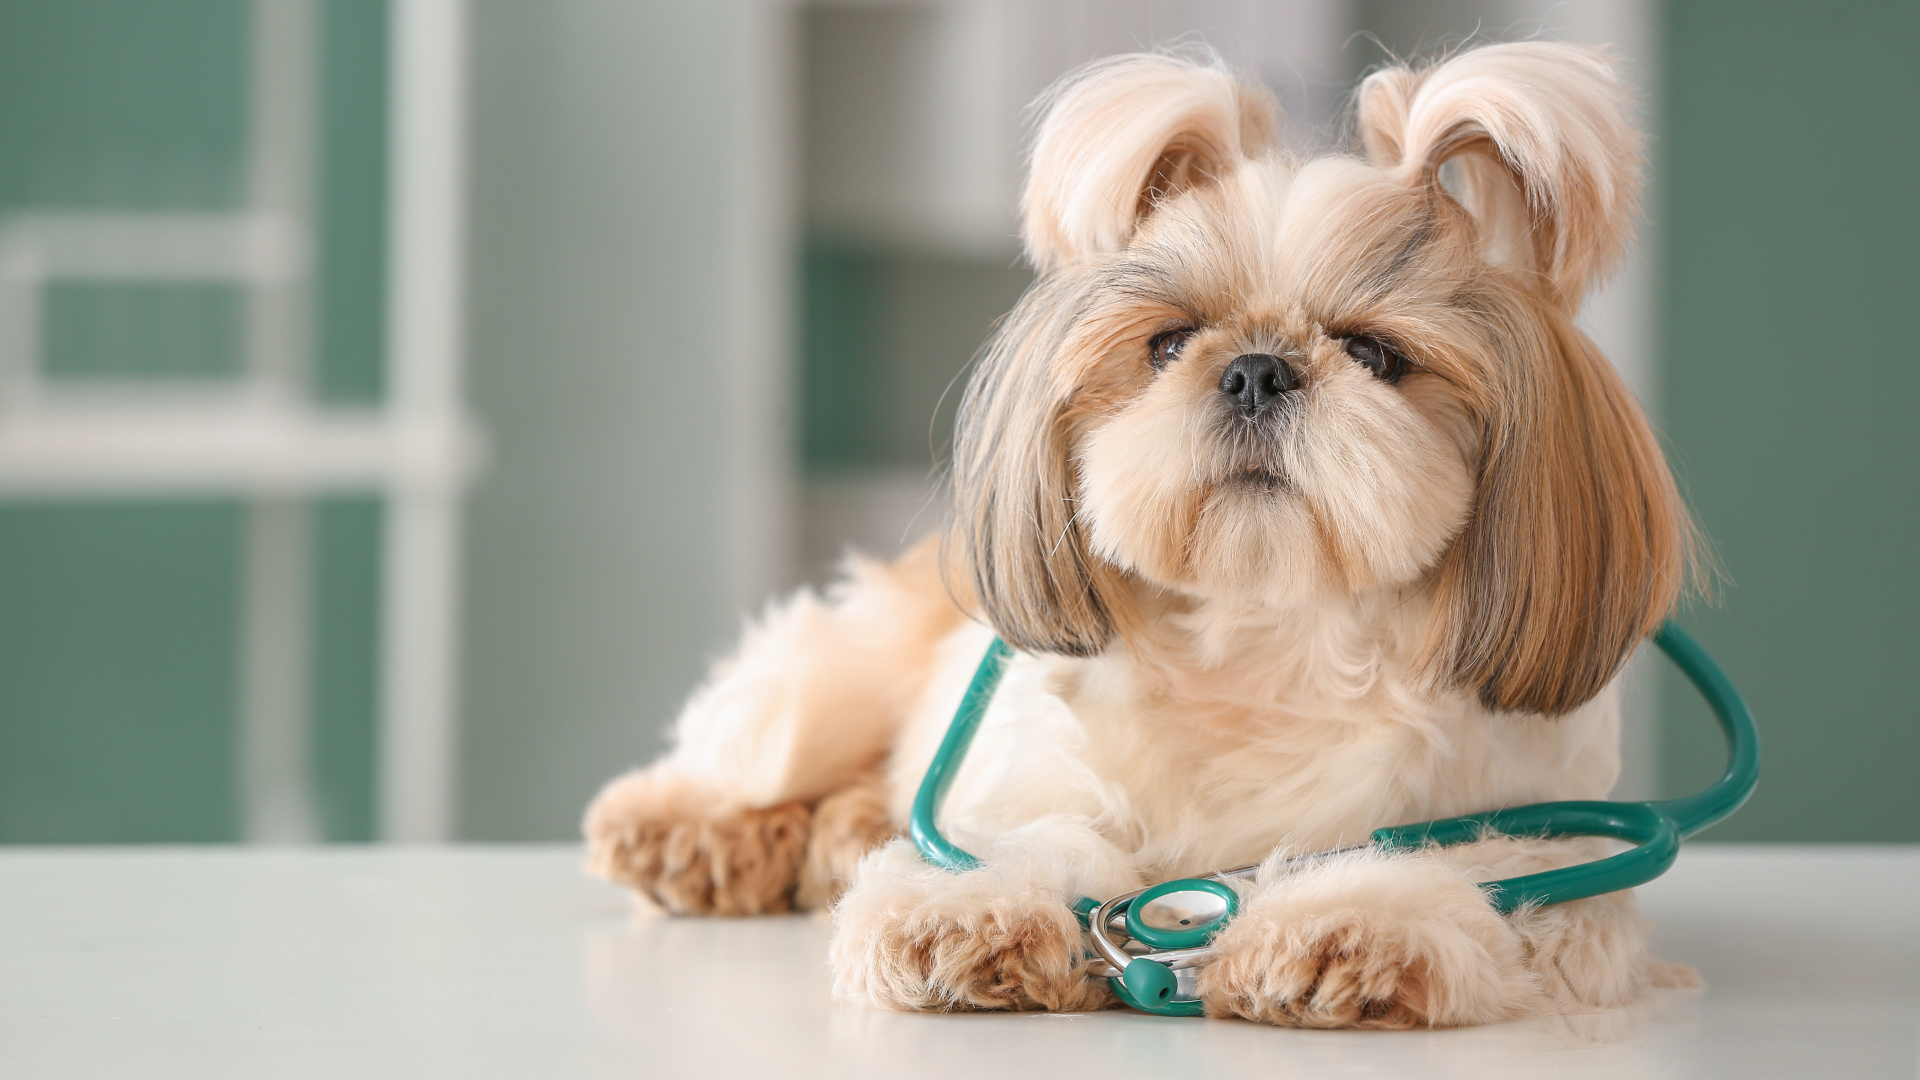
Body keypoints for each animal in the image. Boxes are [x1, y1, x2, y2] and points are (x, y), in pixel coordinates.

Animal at [579, 37, 1697, 1022]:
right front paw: (974, 916)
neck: (1267, 643)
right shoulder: (1036, 779)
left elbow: (1483, 873)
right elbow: (1040, 842)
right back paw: (696, 831)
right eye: (1168, 343)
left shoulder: (1551, 851)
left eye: (1375, 354)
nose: (1256, 369)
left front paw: (1348, 925)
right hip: (836, 675)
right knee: (768, 741)